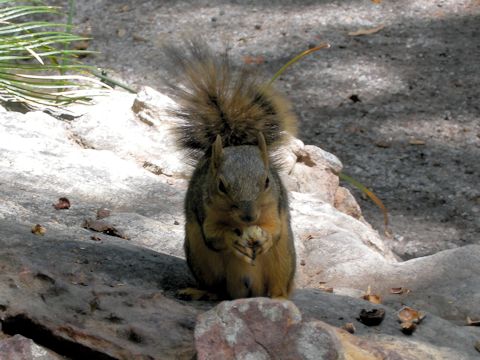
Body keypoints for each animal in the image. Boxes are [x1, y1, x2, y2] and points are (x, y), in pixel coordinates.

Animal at [167, 41, 298, 300]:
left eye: (267, 181)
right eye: (220, 185)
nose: (249, 217)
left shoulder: (275, 207)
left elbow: (275, 229)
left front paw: (265, 238)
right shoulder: (204, 211)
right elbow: (213, 235)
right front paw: (231, 238)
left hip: (284, 259)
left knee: (278, 285)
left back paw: (278, 298)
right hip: (200, 257)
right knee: (217, 289)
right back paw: (199, 292)